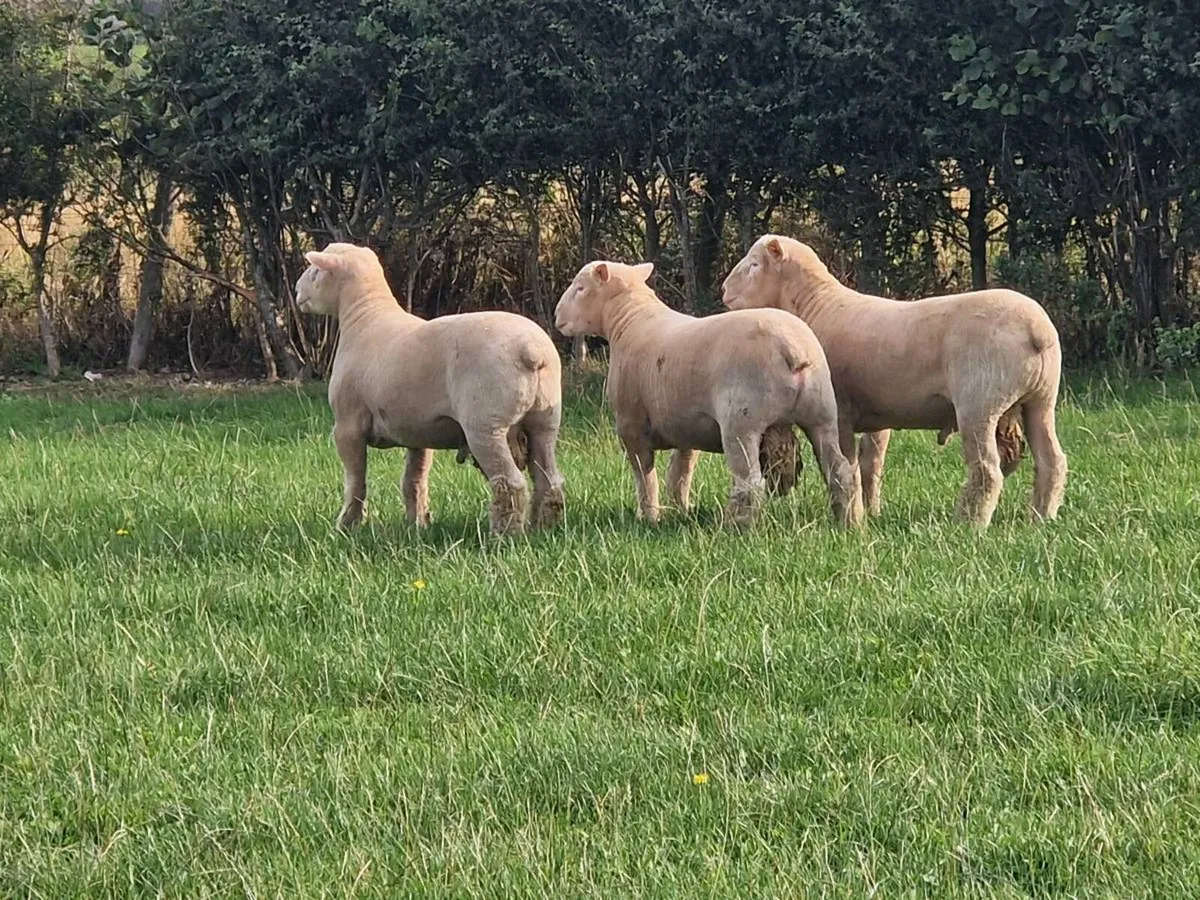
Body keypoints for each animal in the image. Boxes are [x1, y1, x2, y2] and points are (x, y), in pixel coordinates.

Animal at [296, 243, 565, 536]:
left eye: (315, 271)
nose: (297, 291)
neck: (365, 316)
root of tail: (532, 351)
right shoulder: (418, 431)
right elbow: (414, 479)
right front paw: (417, 523)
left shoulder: (347, 426)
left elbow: (356, 482)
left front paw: (347, 525)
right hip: (544, 421)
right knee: (549, 480)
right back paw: (544, 528)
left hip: (486, 424)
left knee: (510, 482)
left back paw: (504, 535)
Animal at [554, 259, 858, 528]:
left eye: (580, 288)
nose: (557, 317)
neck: (630, 321)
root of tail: (792, 348)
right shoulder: (685, 424)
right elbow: (681, 470)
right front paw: (681, 508)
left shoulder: (631, 425)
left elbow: (645, 477)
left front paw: (649, 516)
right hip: (822, 413)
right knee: (840, 472)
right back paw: (846, 524)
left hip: (742, 422)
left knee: (750, 484)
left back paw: (736, 527)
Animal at [722, 235, 1067, 528]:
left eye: (754, 265)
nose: (724, 292)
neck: (815, 305)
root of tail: (1037, 330)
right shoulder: (877, 415)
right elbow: (870, 465)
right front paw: (872, 511)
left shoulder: (841, 410)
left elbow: (849, 467)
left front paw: (855, 513)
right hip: (1041, 400)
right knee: (1052, 460)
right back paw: (1041, 518)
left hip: (980, 403)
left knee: (987, 470)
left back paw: (969, 523)